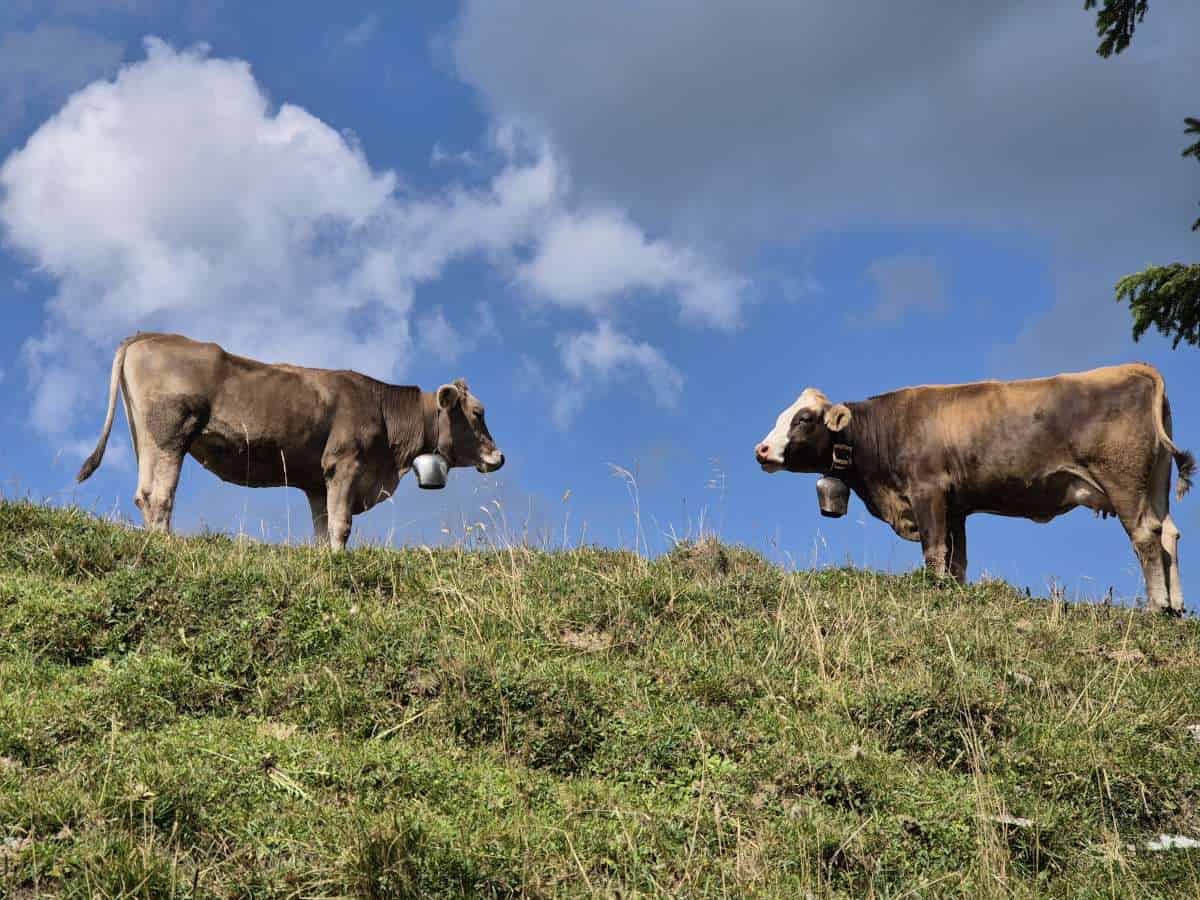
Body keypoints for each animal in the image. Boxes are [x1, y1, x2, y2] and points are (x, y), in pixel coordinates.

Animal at [75, 332, 505, 550]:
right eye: (478, 413)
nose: (499, 456)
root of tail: (146, 335)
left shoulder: (317, 482)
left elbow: (323, 527)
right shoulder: (345, 464)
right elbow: (341, 525)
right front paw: (338, 563)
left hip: (145, 436)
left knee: (144, 493)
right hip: (169, 435)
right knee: (159, 494)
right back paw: (166, 546)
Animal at [754, 364, 1194, 613]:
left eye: (803, 419)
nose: (761, 449)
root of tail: (1136, 368)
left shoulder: (928, 491)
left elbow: (934, 551)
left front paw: (933, 589)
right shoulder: (956, 506)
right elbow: (957, 559)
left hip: (1124, 483)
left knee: (1145, 535)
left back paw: (1156, 605)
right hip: (1155, 483)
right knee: (1168, 533)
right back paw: (1176, 606)